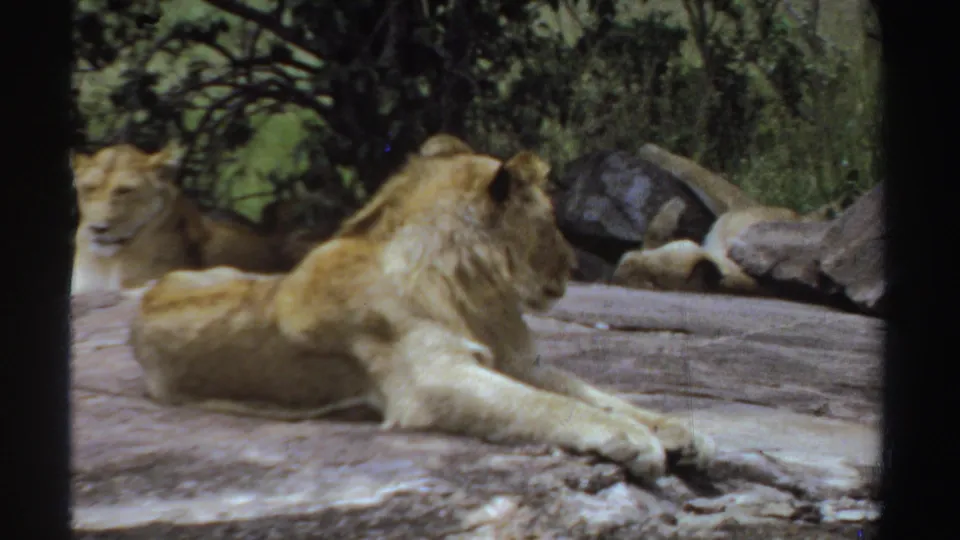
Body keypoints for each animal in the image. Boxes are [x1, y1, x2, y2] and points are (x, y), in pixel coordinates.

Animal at [128, 134, 715, 482]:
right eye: (552, 221)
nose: (574, 266)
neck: (475, 291)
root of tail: (151, 291)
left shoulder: (521, 362)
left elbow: (597, 394)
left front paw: (677, 430)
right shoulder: (432, 378)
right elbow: (549, 407)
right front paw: (632, 440)